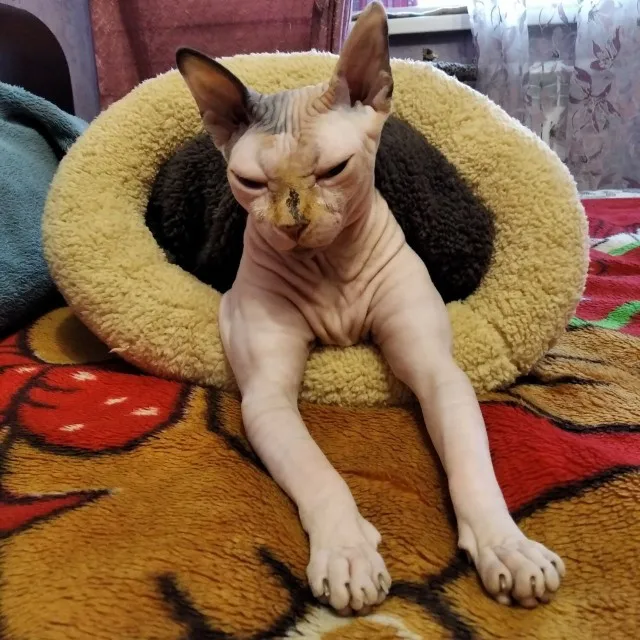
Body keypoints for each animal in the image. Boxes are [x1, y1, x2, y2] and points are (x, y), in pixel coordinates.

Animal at [176, 1, 565, 615]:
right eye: (250, 181)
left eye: (334, 170)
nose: (293, 224)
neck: (328, 267)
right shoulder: (265, 399)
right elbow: (320, 475)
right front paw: (347, 552)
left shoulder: (440, 374)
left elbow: (473, 466)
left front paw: (507, 545)